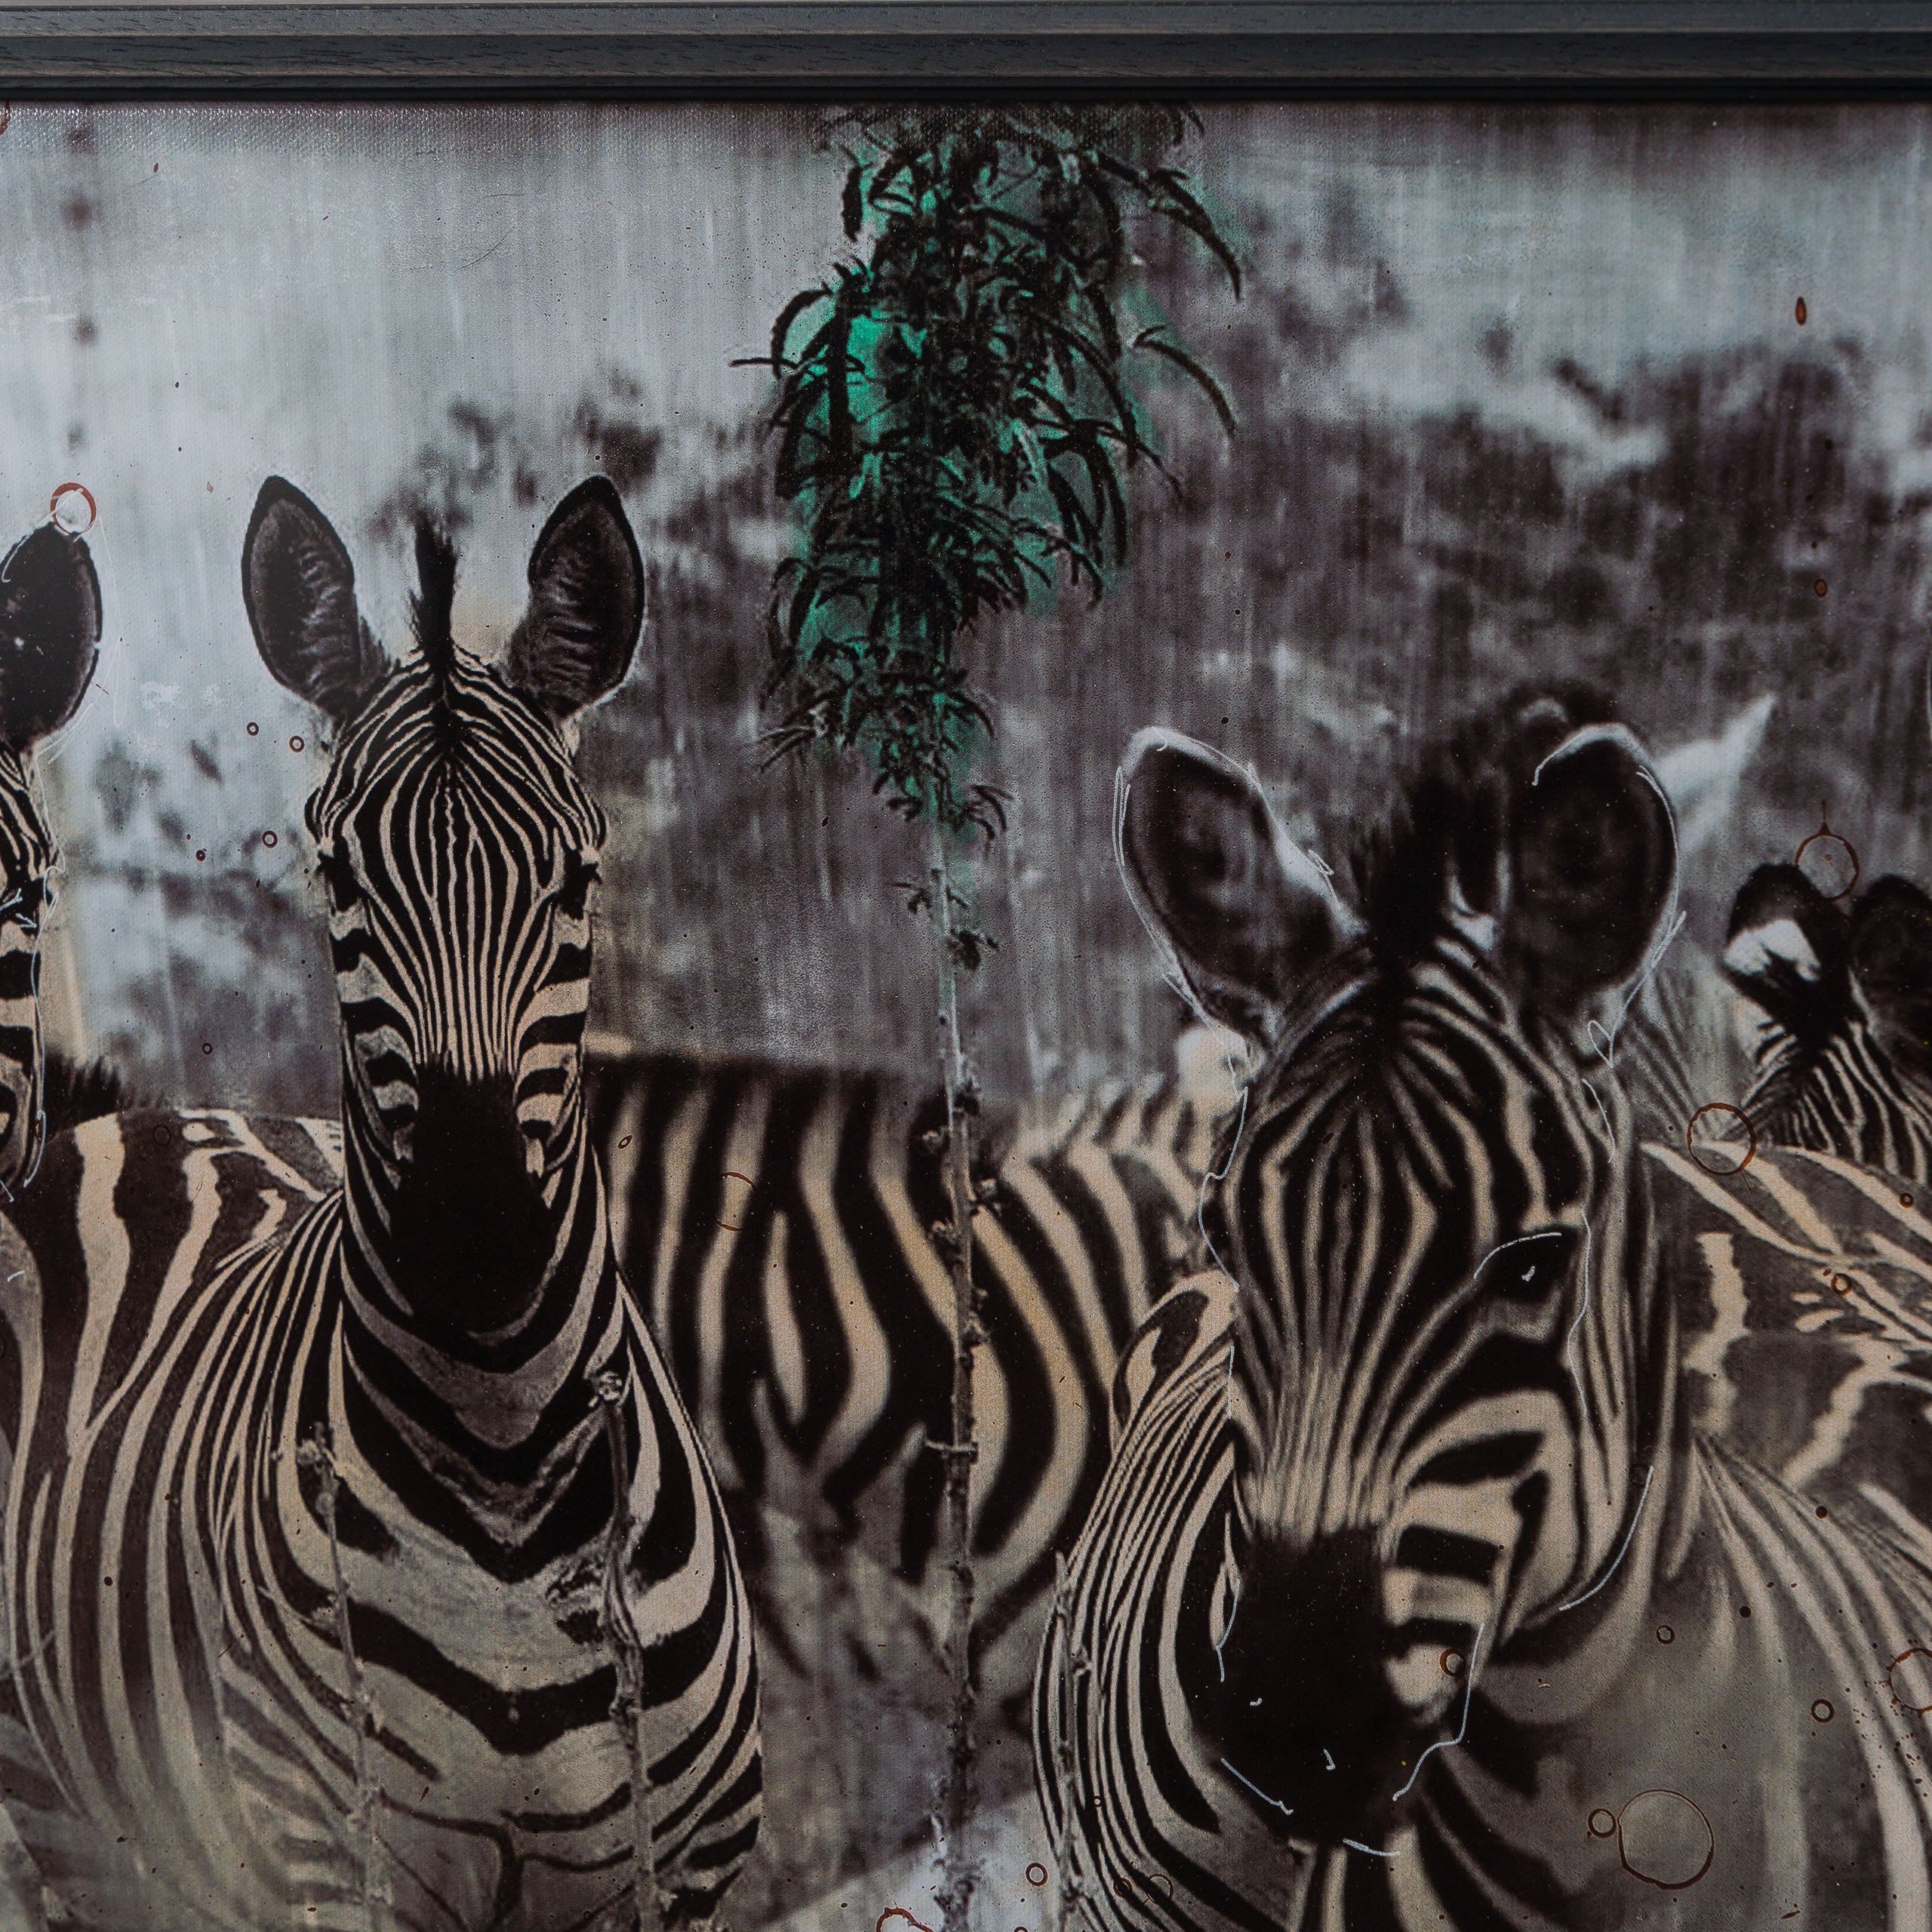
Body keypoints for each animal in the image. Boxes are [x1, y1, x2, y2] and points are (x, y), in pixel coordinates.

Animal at [0, 478, 761, 1932]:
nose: (477, 1238)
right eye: (341, 880)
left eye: (576, 881)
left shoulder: (682, 1876)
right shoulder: (329, 1866)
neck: (511, 1477)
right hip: (87, 1830)